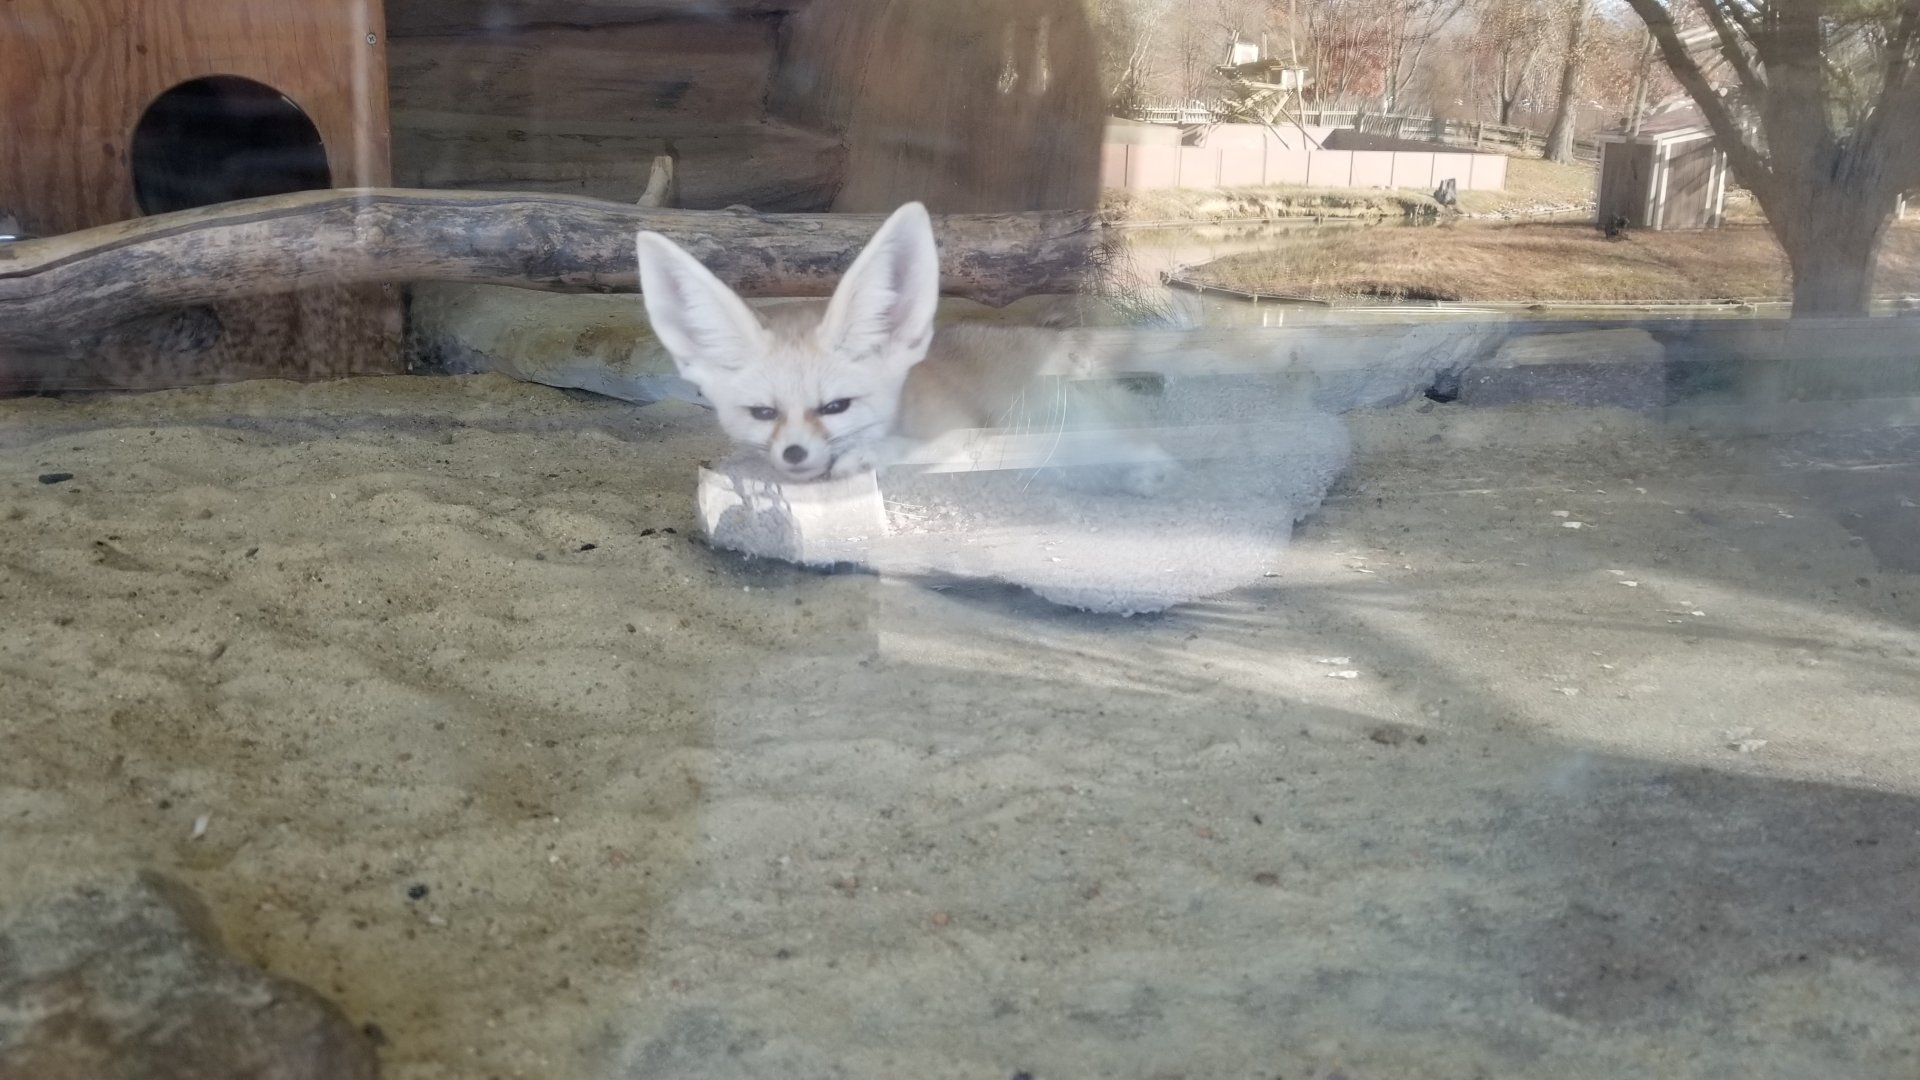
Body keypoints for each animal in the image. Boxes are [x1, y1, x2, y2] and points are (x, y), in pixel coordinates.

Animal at [634, 201, 1174, 495]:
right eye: (763, 413)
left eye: (836, 407)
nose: (793, 453)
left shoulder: (963, 433)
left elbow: (917, 451)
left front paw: (870, 453)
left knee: (1152, 445)